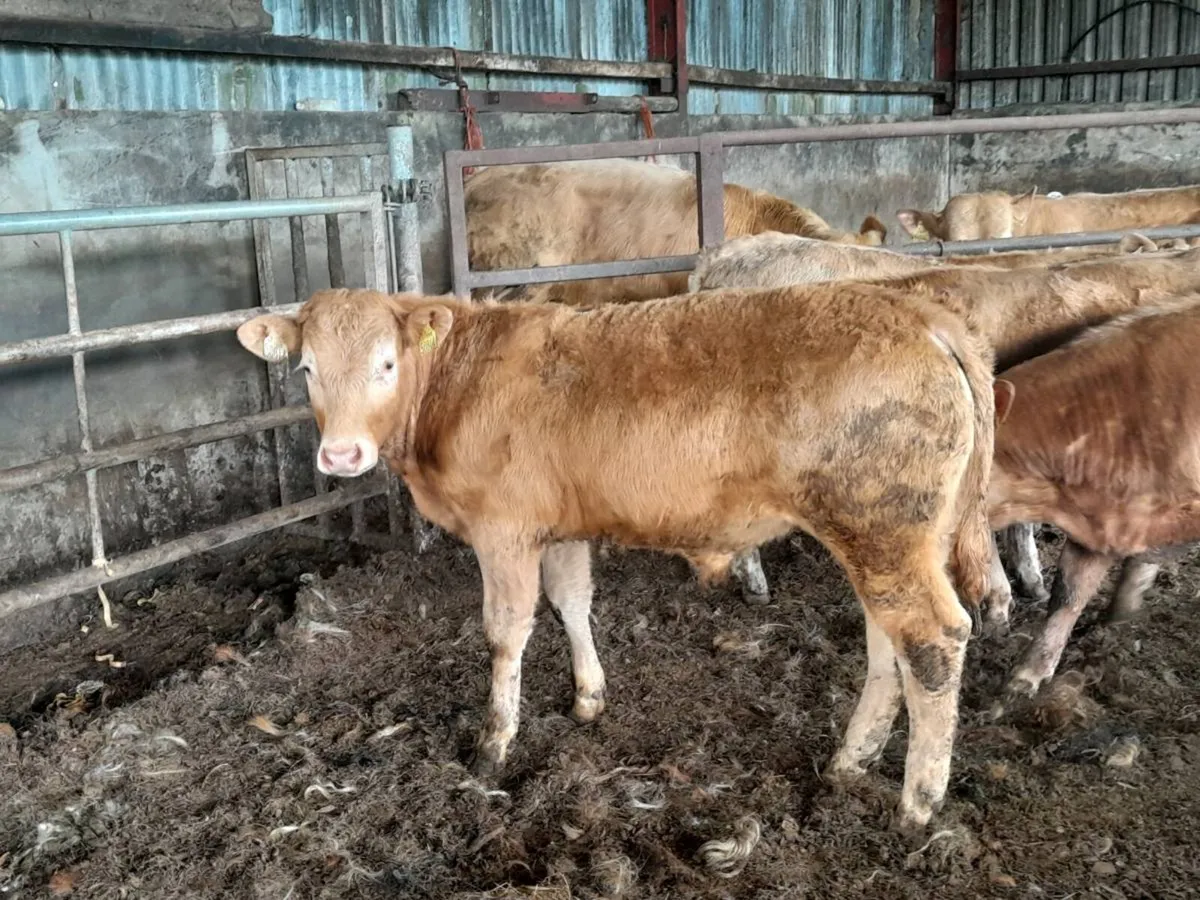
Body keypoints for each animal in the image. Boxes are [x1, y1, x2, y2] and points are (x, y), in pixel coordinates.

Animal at [236, 284, 995, 835]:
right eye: (307, 370)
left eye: (385, 364)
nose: (341, 456)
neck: (458, 382)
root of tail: (918, 311)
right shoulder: (560, 525)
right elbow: (573, 602)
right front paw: (589, 697)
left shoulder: (503, 530)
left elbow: (505, 631)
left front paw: (493, 742)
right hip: (891, 539)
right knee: (888, 646)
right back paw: (849, 762)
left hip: (880, 528)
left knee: (932, 642)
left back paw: (918, 804)